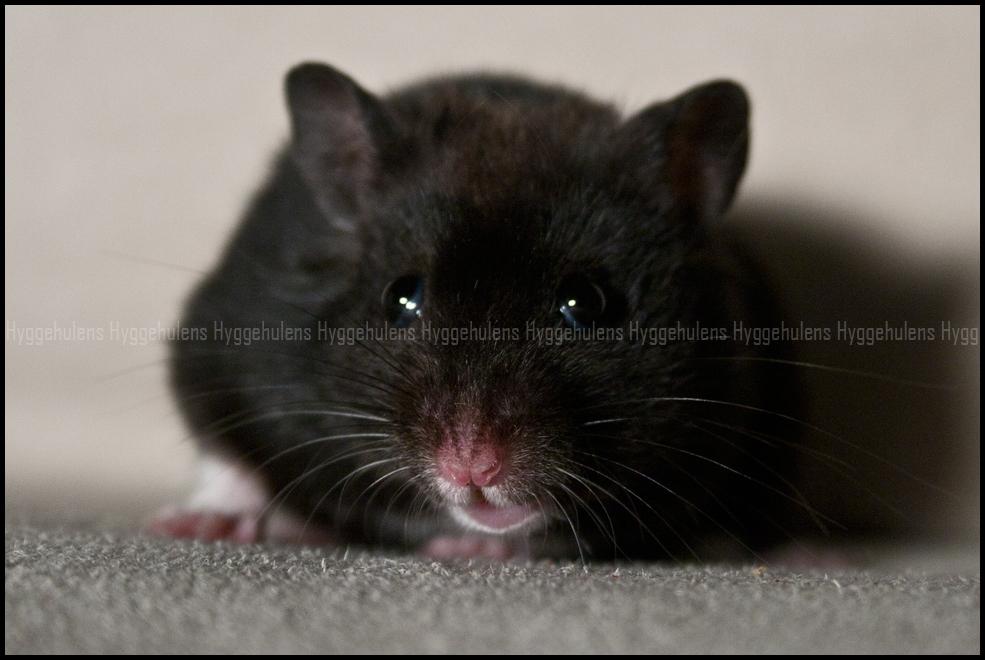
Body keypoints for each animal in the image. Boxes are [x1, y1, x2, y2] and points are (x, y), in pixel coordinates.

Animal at [150, 62, 804, 561]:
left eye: (586, 303)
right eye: (400, 298)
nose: (473, 468)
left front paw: (469, 549)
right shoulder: (217, 348)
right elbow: (228, 458)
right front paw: (191, 526)